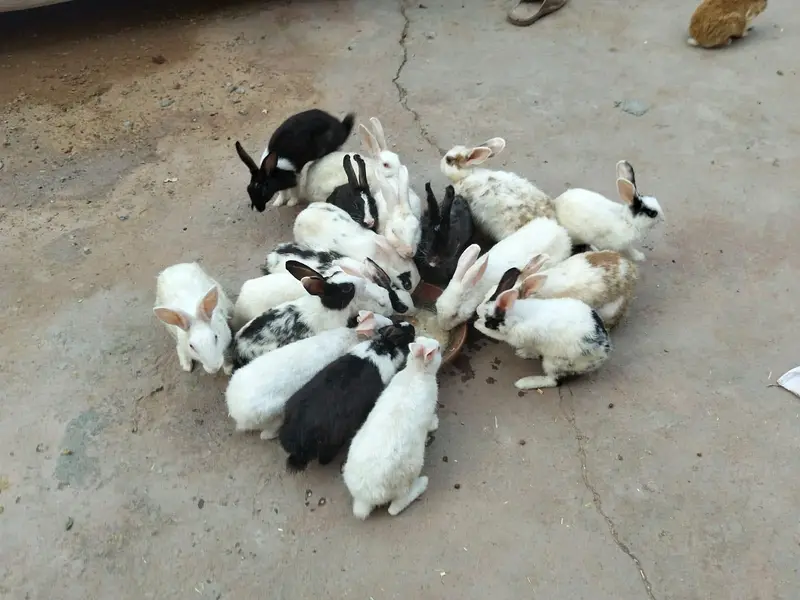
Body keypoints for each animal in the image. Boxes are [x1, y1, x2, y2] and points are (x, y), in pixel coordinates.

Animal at [343, 336, 442, 519]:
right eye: (437, 349)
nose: (440, 345)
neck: (416, 371)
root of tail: (367, 496)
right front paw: (435, 423)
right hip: (411, 470)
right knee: (395, 508)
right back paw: (422, 484)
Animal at [474, 273, 612, 390]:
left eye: (489, 321)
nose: (477, 312)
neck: (516, 314)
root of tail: (604, 354)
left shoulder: (513, 335)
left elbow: (496, 334)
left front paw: (478, 325)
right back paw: (524, 353)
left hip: (555, 363)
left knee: (554, 381)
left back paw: (523, 383)